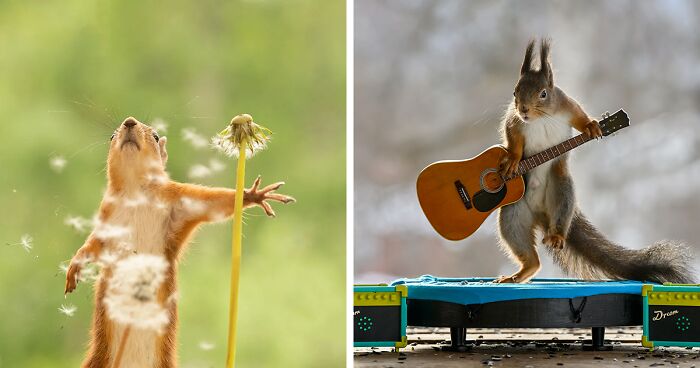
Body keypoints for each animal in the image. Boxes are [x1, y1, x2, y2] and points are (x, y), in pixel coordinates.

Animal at [64, 118, 294, 368]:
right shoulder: (106, 220)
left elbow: (214, 202)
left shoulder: (180, 201)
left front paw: (254, 195)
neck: (135, 192)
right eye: (112, 136)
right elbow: (93, 245)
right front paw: (74, 267)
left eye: (156, 136)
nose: (129, 121)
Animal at [494, 38, 692, 284]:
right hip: (513, 214)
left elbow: (579, 116)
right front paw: (512, 159)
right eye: (515, 92)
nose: (524, 109)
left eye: (543, 94)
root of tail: (541, 214)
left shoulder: (567, 105)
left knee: (560, 215)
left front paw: (592, 127)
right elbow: (512, 137)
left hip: (561, 189)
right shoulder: (514, 122)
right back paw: (521, 273)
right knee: (525, 250)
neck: (540, 118)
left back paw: (556, 236)